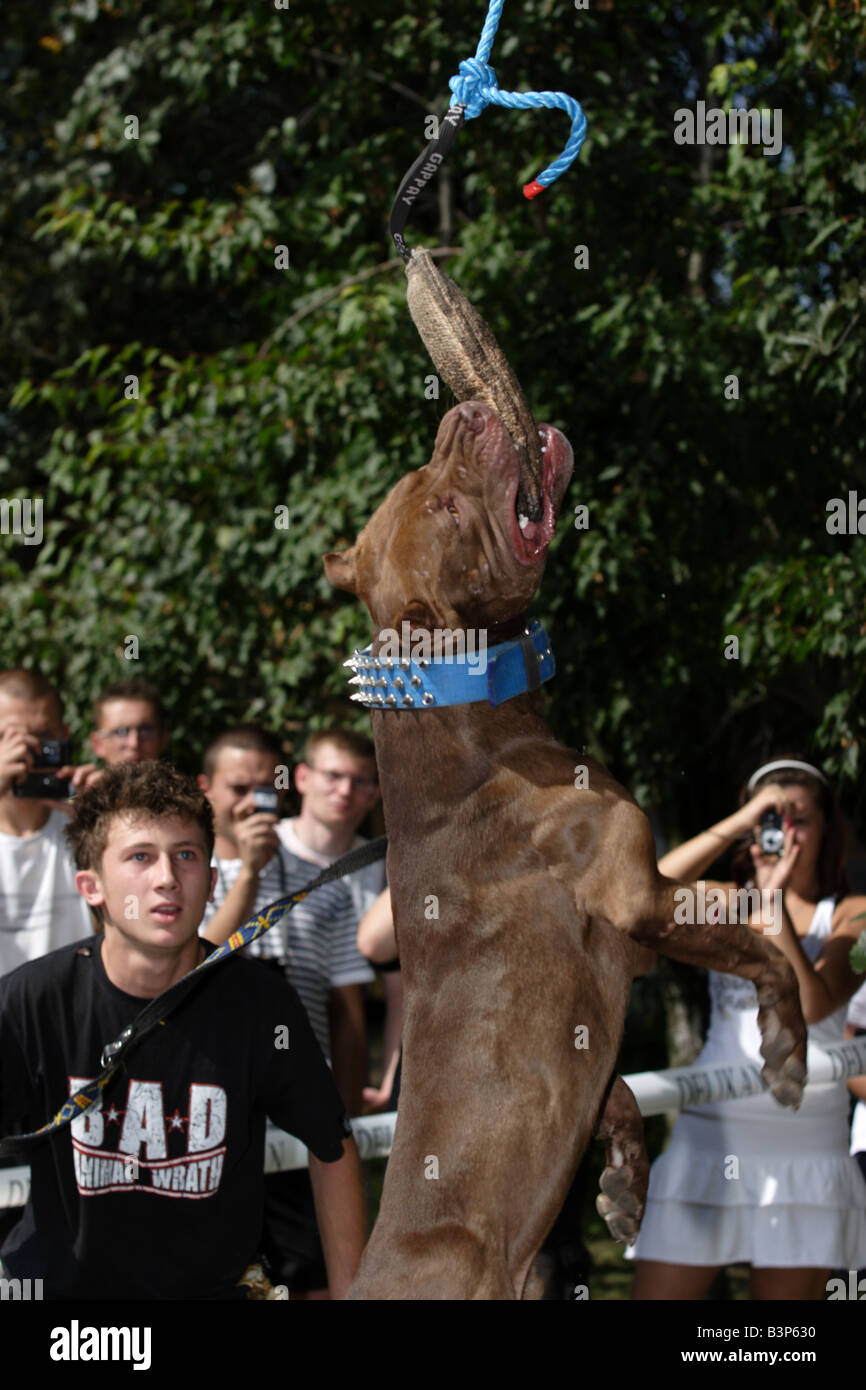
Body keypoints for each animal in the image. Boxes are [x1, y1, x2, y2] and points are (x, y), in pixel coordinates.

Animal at [323, 397, 806, 1295]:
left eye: (421, 477)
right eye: (447, 508)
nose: (464, 415)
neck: (480, 735)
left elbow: (617, 1080)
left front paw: (623, 1177)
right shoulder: (641, 896)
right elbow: (757, 937)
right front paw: (787, 1048)